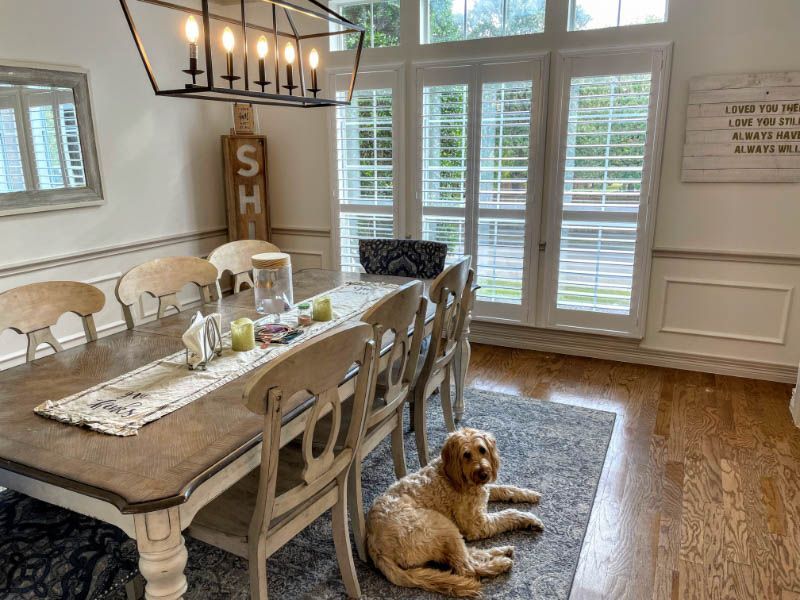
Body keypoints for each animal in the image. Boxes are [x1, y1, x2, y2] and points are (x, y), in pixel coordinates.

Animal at [368, 426, 544, 596]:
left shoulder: (485, 490)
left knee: (465, 555)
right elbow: (508, 514)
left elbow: (505, 489)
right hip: (441, 525)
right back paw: (499, 563)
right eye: (466, 455)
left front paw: (528, 493)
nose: (483, 473)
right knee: (467, 568)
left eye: (482, 450)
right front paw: (529, 518)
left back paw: (499, 551)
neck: (453, 475)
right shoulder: (477, 525)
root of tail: (376, 549)